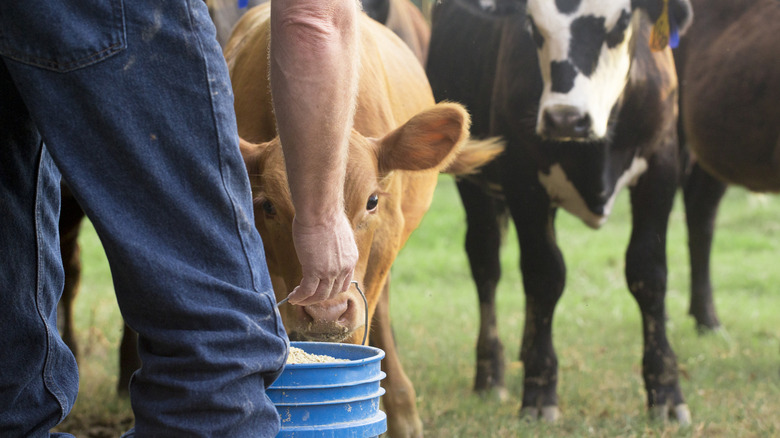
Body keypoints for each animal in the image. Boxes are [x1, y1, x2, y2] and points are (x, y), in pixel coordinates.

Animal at [426, 0, 692, 423]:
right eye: (533, 27)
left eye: (620, 24)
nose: (566, 118)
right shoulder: (523, 179)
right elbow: (544, 275)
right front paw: (538, 389)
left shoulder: (662, 167)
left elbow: (648, 274)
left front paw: (665, 390)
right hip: (473, 179)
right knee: (486, 263)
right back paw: (491, 372)